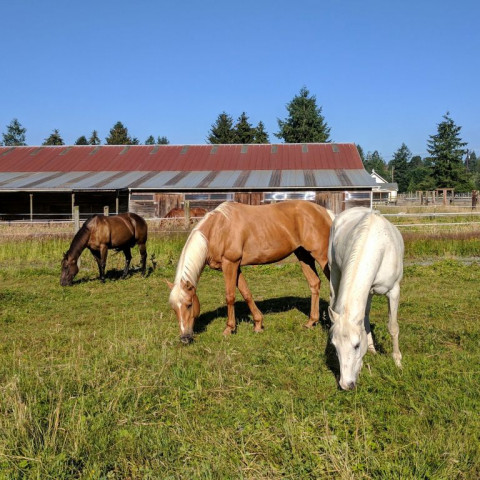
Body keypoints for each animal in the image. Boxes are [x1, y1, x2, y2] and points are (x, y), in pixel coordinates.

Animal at [167, 201, 332, 344]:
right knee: (314, 284)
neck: (217, 229)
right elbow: (246, 293)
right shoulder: (236, 267)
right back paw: (311, 322)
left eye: (189, 304)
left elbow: (230, 296)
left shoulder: (230, 264)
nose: (184, 338)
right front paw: (258, 325)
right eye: (173, 308)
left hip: (322, 257)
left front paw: (229, 329)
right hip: (303, 255)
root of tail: (324, 212)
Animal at [328, 206, 404, 390]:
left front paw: (398, 362)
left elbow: (393, 327)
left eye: (356, 346)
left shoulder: (394, 291)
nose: (346, 384)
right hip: (334, 270)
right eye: (334, 346)